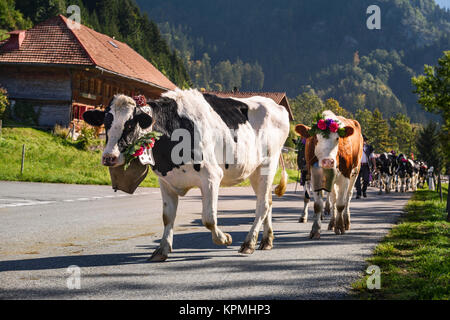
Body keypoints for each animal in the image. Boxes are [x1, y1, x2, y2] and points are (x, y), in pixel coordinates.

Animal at [82, 89, 290, 262]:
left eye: (130, 125)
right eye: (106, 123)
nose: (109, 157)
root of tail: (276, 105)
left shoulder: (211, 176)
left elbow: (209, 218)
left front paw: (224, 238)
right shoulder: (166, 181)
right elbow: (167, 217)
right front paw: (161, 250)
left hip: (267, 165)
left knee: (262, 205)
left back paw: (249, 243)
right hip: (254, 170)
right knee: (268, 201)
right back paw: (266, 241)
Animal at [294, 110, 364, 238]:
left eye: (337, 138)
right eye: (315, 137)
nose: (328, 161)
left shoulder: (345, 176)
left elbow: (341, 204)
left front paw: (340, 227)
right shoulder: (312, 177)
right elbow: (318, 205)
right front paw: (315, 230)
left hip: (355, 172)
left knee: (347, 197)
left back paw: (346, 221)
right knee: (333, 198)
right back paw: (332, 223)